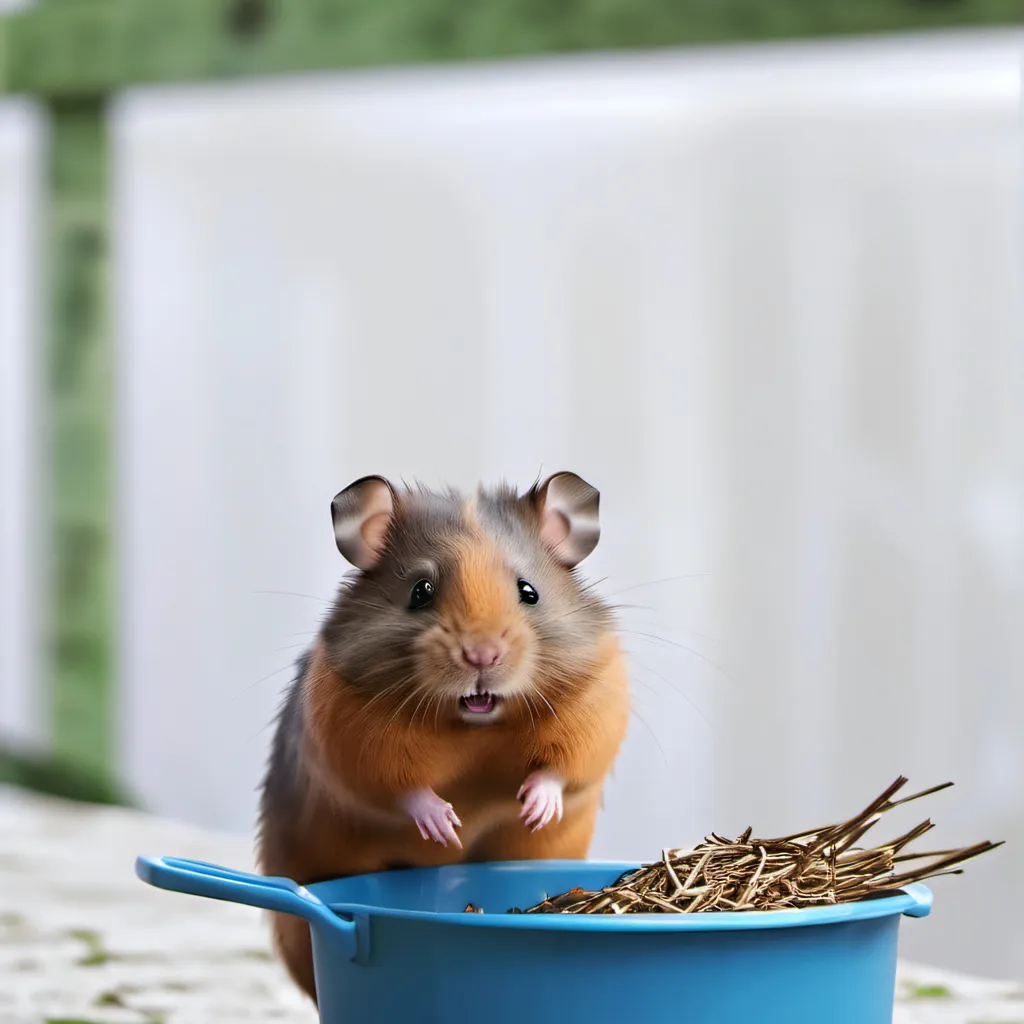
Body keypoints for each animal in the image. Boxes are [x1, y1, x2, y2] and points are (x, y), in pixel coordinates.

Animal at [257, 472, 630, 1002]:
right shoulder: (354, 743)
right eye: (421, 590)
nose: (481, 656)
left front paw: (533, 809)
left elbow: (560, 770)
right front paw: (446, 826)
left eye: (529, 591)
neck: (475, 725)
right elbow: (403, 789)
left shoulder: (595, 709)